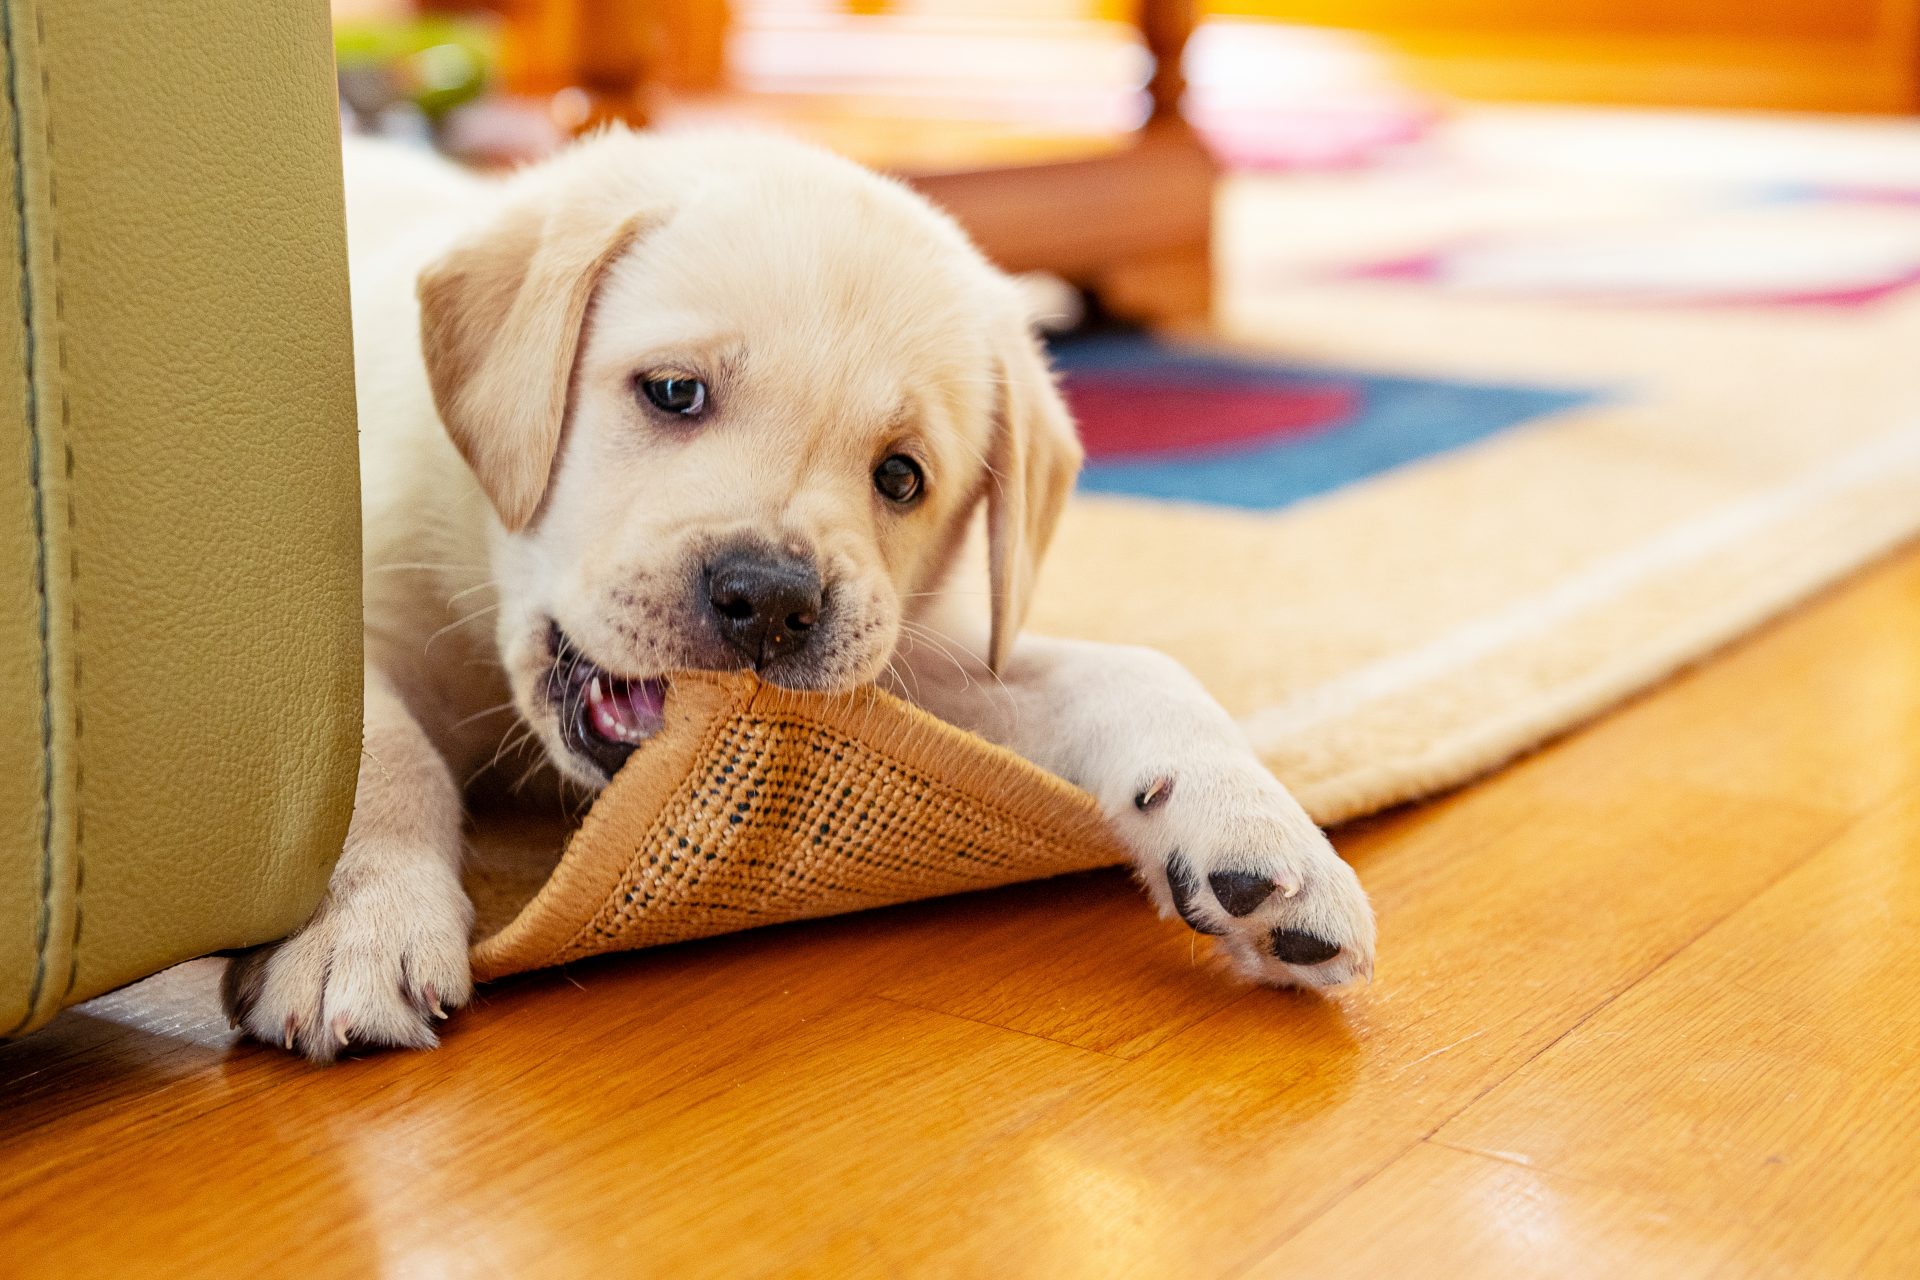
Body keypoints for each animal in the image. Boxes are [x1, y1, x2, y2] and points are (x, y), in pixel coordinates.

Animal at [224, 130, 1374, 1059]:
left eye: (901, 477)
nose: (770, 599)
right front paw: (357, 930)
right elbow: (373, 756)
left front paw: (1258, 830)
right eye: (673, 391)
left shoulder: (903, 667)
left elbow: (1140, 670)